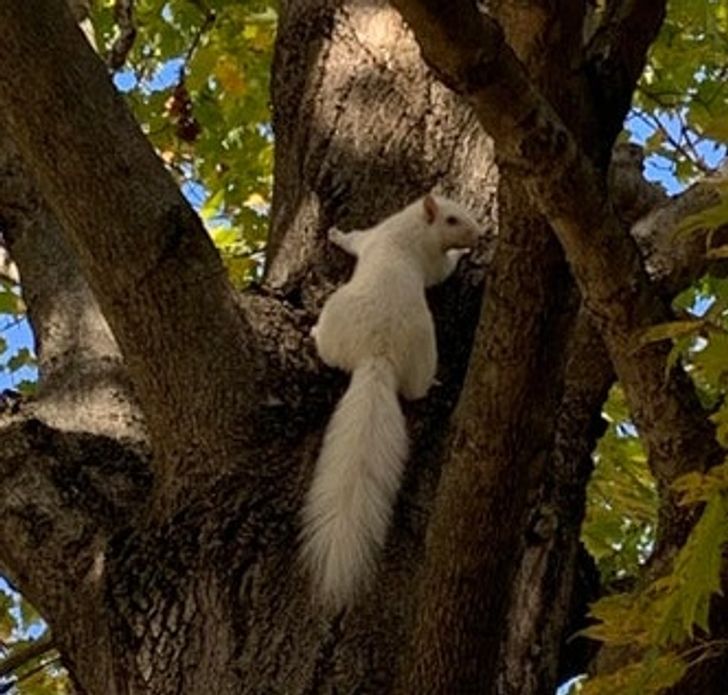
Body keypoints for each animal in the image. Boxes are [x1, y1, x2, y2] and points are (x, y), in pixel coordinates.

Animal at [298, 194, 480, 608]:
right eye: (452, 218)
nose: (478, 236)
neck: (415, 228)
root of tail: (378, 356)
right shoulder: (408, 252)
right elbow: (436, 270)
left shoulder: (391, 244)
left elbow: (359, 243)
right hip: (422, 355)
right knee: (415, 388)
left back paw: (314, 331)